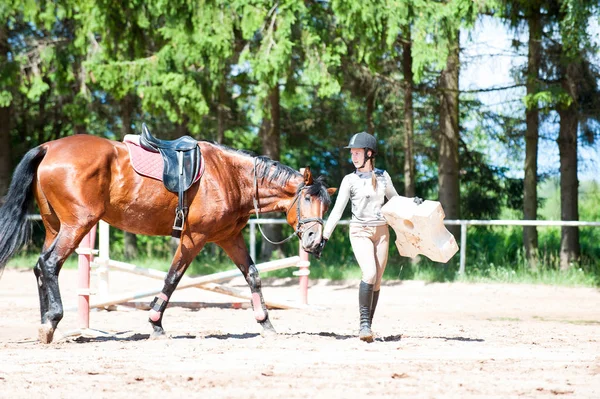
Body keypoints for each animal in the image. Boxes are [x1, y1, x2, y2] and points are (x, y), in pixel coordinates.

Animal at [0, 134, 338, 344]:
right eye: (307, 199)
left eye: (326, 205)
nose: (315, 242)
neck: (231, 176)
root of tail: (49, 147)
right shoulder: (194, 237)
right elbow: (173, 278)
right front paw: (156, 325)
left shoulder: (230, 237)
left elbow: (253, 275)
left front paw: (266, 323)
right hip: (77, 225)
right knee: (49, 265)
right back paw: (51, 320)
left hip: (55, 227)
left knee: (40, 268)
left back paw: (46, 325)